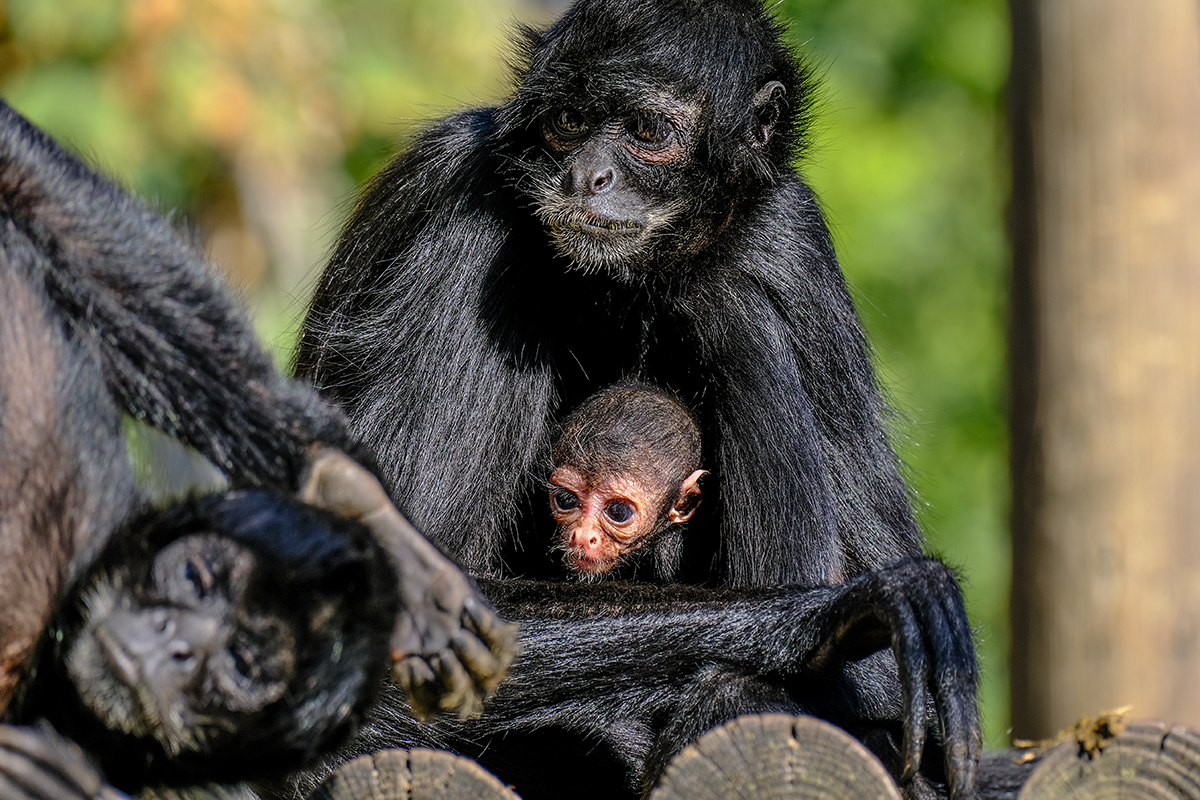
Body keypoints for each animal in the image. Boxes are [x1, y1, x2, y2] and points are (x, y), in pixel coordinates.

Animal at [295, 1, 979, 800]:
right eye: (568, 121)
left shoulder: (791, 236)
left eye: (646, 132)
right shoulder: (461, 204)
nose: (587, 175)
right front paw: (837, 615)